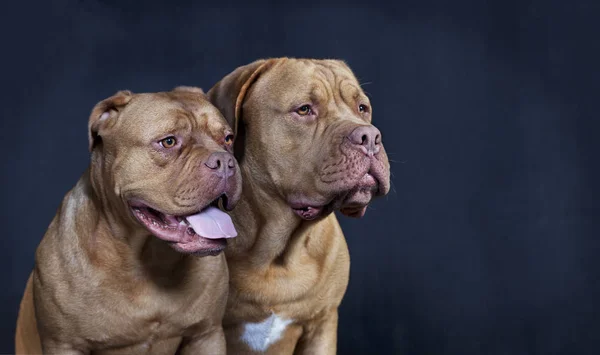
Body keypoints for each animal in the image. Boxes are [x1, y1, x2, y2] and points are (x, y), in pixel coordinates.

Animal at [14, 87, 240, 355]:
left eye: (228, 139)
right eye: (169, 141)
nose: (225, 162)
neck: (150, 259)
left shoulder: (206, 334)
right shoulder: (64, 344)